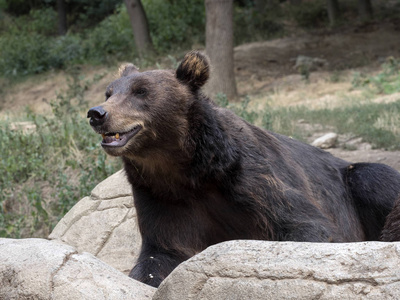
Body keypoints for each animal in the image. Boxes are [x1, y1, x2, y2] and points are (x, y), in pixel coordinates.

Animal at [86, 51, 400, 288]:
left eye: (141, 91)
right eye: (110, 92)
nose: (97, 113)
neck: (185, 169)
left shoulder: (248, 177)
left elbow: (305, 224)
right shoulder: (159, 195)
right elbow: (161, 253)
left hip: (354, 179)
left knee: (370, 178)